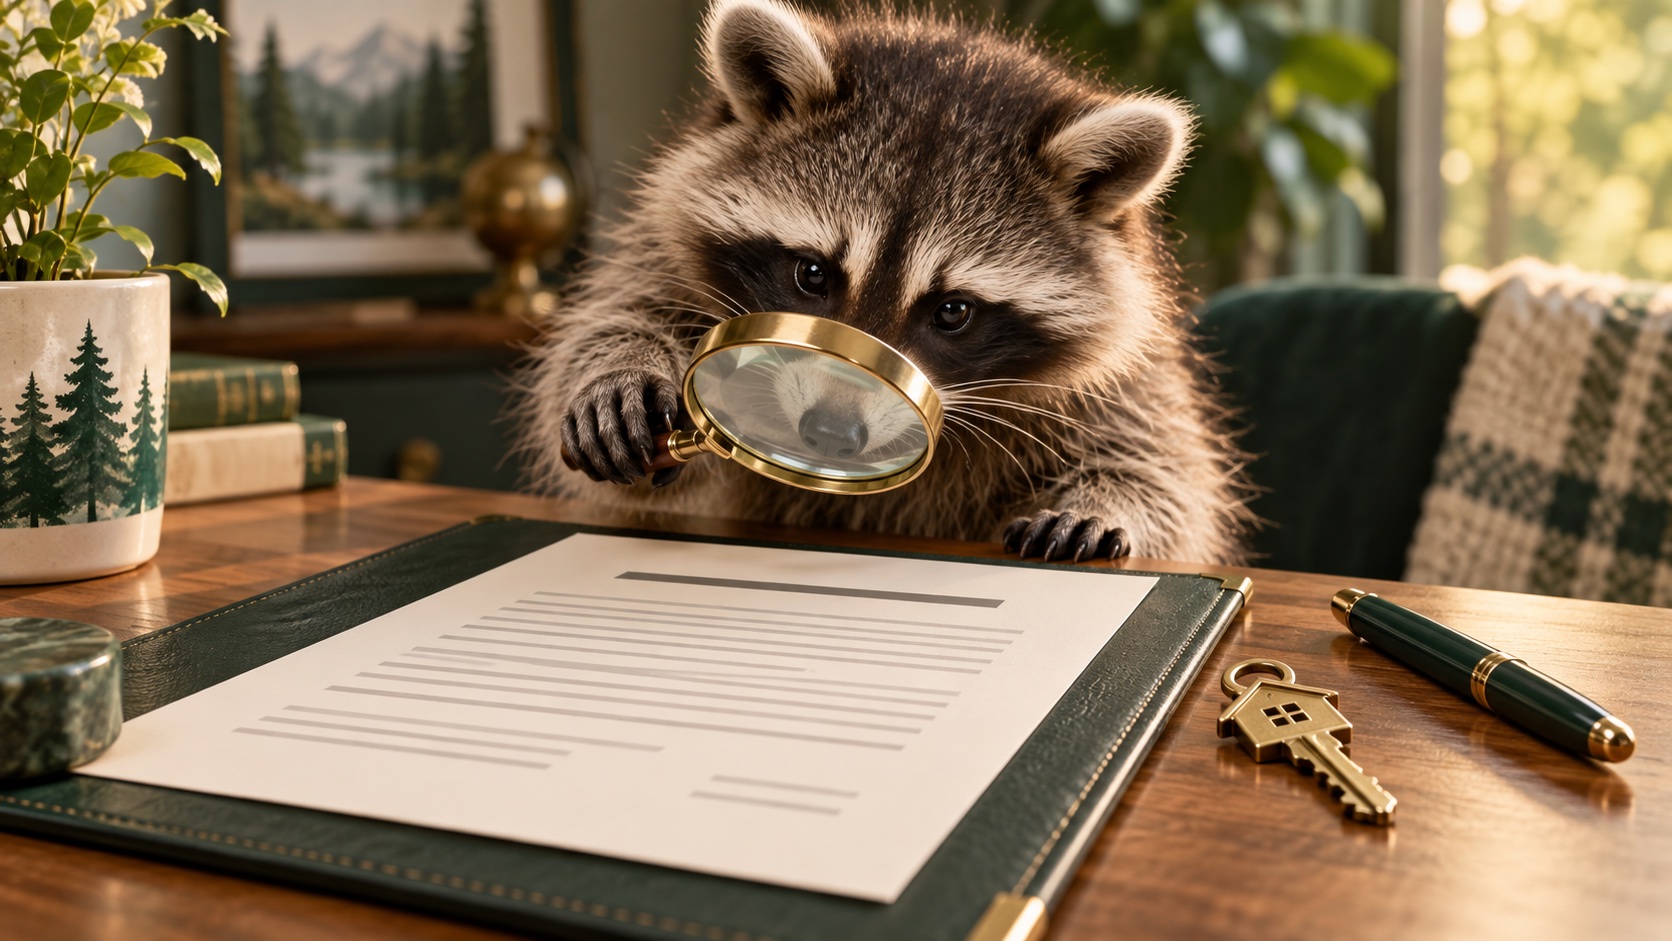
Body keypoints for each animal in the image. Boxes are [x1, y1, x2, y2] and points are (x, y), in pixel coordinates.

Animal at [519, 0, 1250, 565]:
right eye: (813, 273)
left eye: (953, 310)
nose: (831, 434)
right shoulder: (665, 249)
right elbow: (627, 317)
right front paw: (620, 367)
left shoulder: (1129, 362)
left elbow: (1165, 463)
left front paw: (1111, 499)